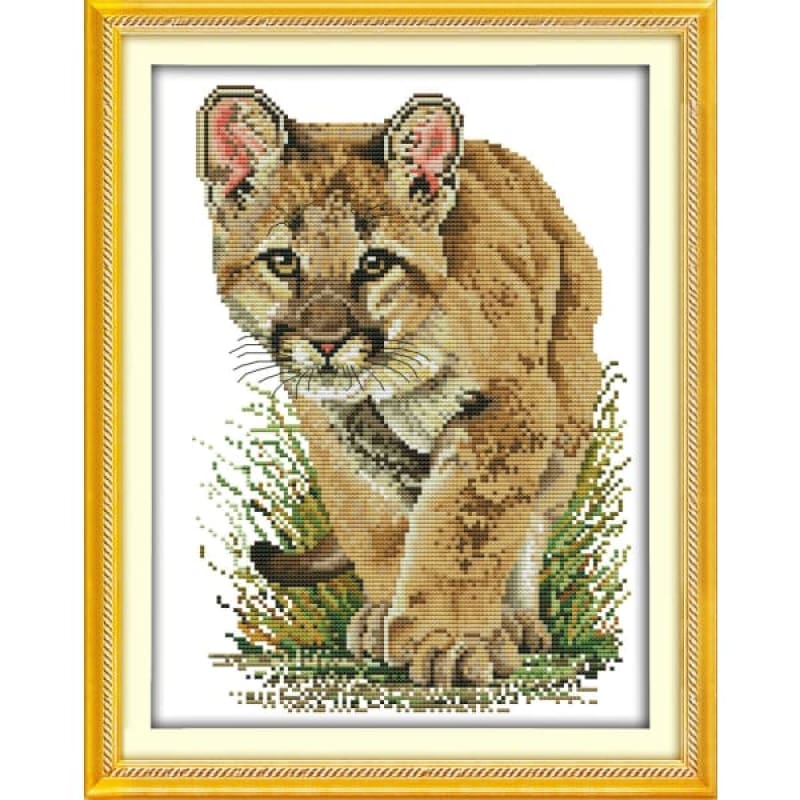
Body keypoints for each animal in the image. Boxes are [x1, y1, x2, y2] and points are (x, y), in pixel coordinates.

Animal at [196, 86, 601, 687]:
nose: (326, 343)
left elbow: (468, 531)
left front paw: (451, 643)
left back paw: (519, 623)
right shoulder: (337, 431)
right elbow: (376, 527)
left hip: (569, 403)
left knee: (532, 519)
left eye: (375, 262)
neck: (387, 378)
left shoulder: (510, 406)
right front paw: (389, 616)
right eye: (282, 260)